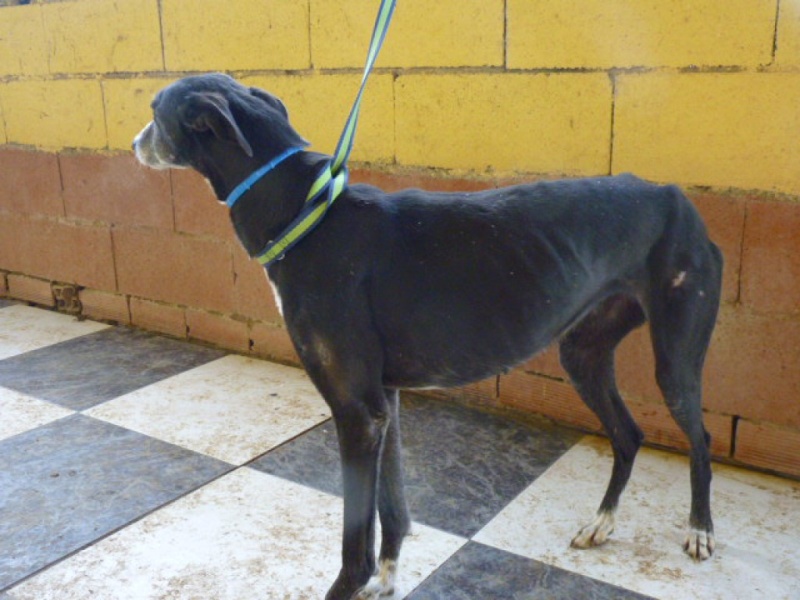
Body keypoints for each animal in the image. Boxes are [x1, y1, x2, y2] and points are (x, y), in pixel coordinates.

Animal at [134, 74, 720, 600]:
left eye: (155, 110)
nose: (134, 142)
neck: (308, 213)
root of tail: (675, 197)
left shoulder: (354, 411)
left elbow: (355, 545)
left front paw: (354, 584)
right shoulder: (383, 403)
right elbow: (393, 510)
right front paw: (389, 580)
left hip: (676, 356)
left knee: (700, 437)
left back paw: (700, 529)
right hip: (583, 353)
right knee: (628, 434)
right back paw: (602, 523)